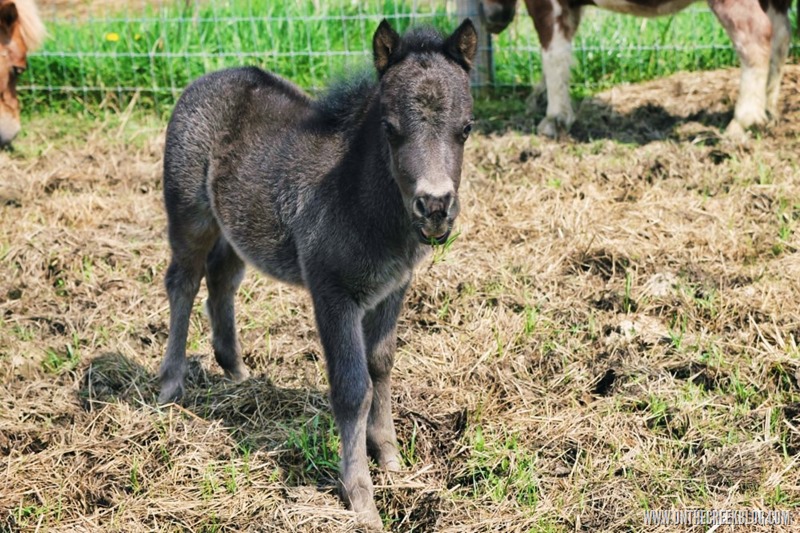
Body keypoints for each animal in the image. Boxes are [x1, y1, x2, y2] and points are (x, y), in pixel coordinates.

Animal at [482, 0, 792, 138]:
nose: (493, 20)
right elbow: (564, 54)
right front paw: (534, 101)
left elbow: (553, 53)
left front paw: (551, 123)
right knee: (781, 34)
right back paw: (769, 112)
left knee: (756, 34)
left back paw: (741, 124)